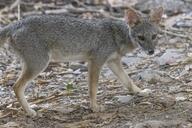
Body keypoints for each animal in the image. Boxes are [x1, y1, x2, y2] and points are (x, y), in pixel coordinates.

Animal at [0, 7, 163, 117]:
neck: (117, 35)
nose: (151, 51)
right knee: (16, 87)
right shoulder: (96, 62)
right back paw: (30, 112)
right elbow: (93, 88)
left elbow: (128, 81)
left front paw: (139, 92)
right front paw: (94, 107)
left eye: (154, 36)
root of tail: (17, 23)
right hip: (39, 64)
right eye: (141, 37)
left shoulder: (113, 62)